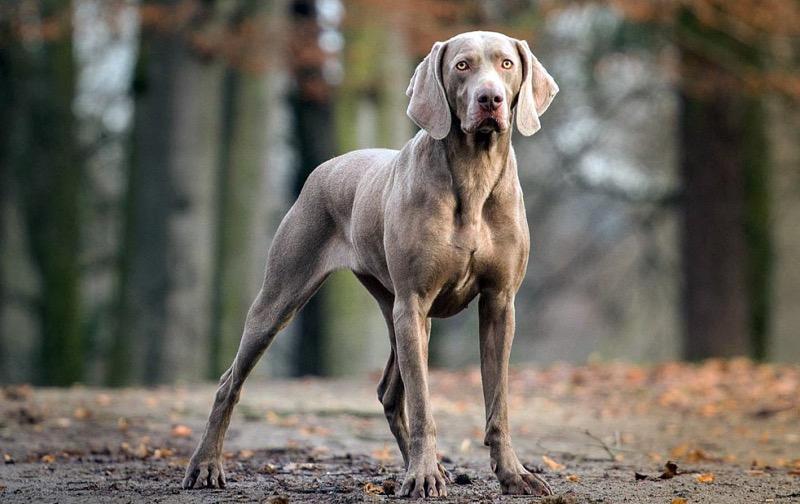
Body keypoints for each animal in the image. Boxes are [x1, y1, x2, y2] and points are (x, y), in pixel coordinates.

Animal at [182, 29, 560, 498]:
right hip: (285, 297)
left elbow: (498, 403)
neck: (474, 174)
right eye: (462, 66)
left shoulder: (499, 303)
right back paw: (205, 466)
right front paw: (423, 475)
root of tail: (325, 167)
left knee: (389, 393)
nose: (490, 99)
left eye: (506, 64)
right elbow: (424, 403)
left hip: (400, 312)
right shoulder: (413, 301)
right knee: (229, 382)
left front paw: (512, 474)